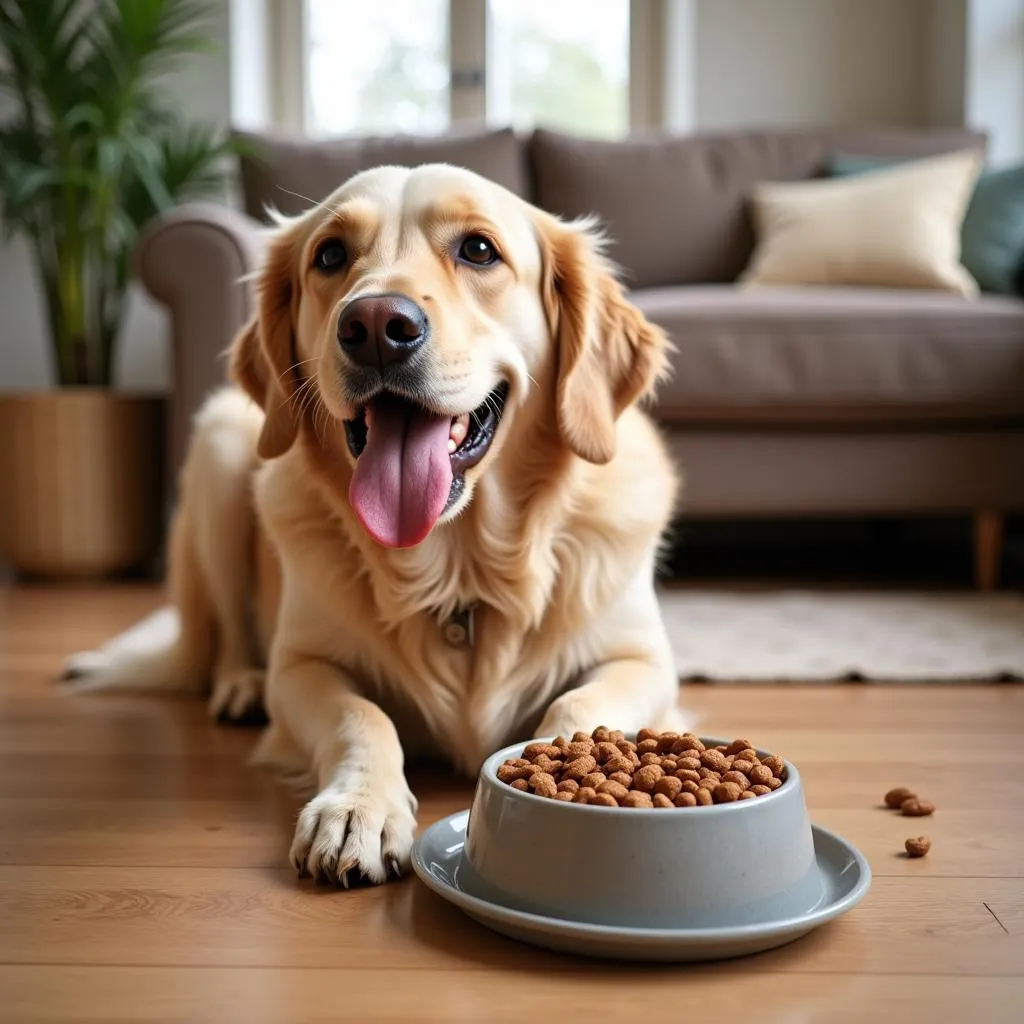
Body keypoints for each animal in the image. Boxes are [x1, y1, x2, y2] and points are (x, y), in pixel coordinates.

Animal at [68, 163, 684, 884]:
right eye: (330, 255)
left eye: (479, 249)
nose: (376, 324)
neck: (459, 571)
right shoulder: (302, 666)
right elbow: (360, 716)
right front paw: (355, 810)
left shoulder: (643, 661)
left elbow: (577, 705)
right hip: (221, 448)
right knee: (224, 637)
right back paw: (239, 686)